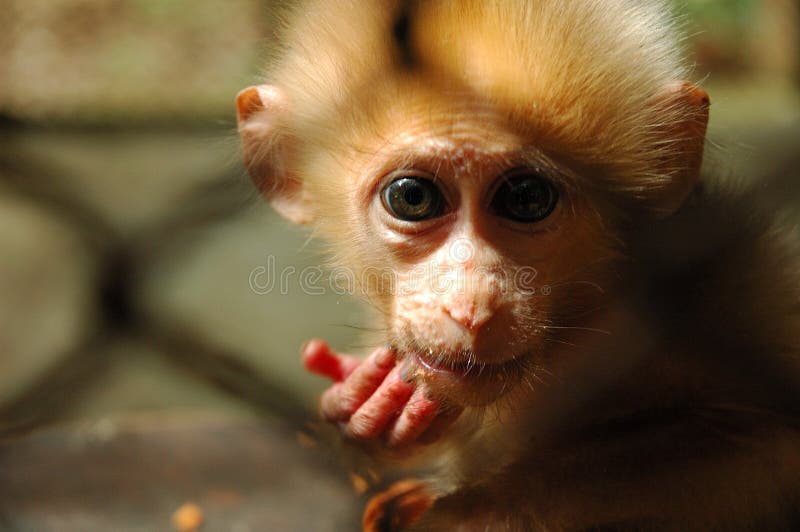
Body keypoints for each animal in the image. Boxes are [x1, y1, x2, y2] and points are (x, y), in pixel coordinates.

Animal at [238, 2, 800, 528]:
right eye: (412, 197)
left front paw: (466, 513)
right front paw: (362, 413)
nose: (469, 305)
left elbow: (768, 445)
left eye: (526, 198)